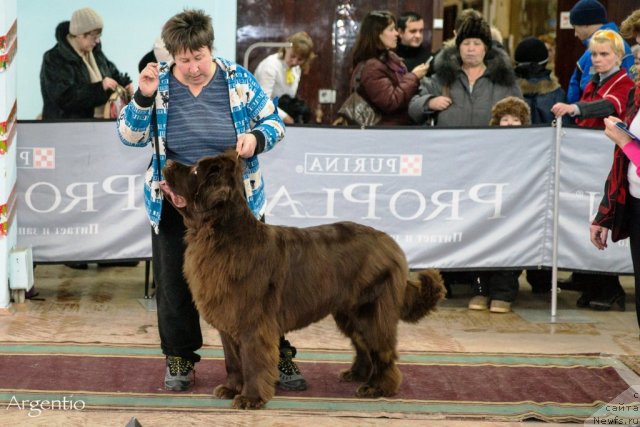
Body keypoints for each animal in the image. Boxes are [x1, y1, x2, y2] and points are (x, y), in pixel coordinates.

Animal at [160, 150, 444, 412]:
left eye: (195, 171)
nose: (168, 161)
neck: (218, 236)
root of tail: (392, 244)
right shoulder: (228, 321)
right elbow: (232, 361)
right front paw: (230, 389)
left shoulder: (253, 323)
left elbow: (252, 361)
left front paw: (250, 398)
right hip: (348, 311)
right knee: (362, 344)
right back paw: (356, 374)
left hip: (370, 310)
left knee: (381, 349)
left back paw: (377, 387)